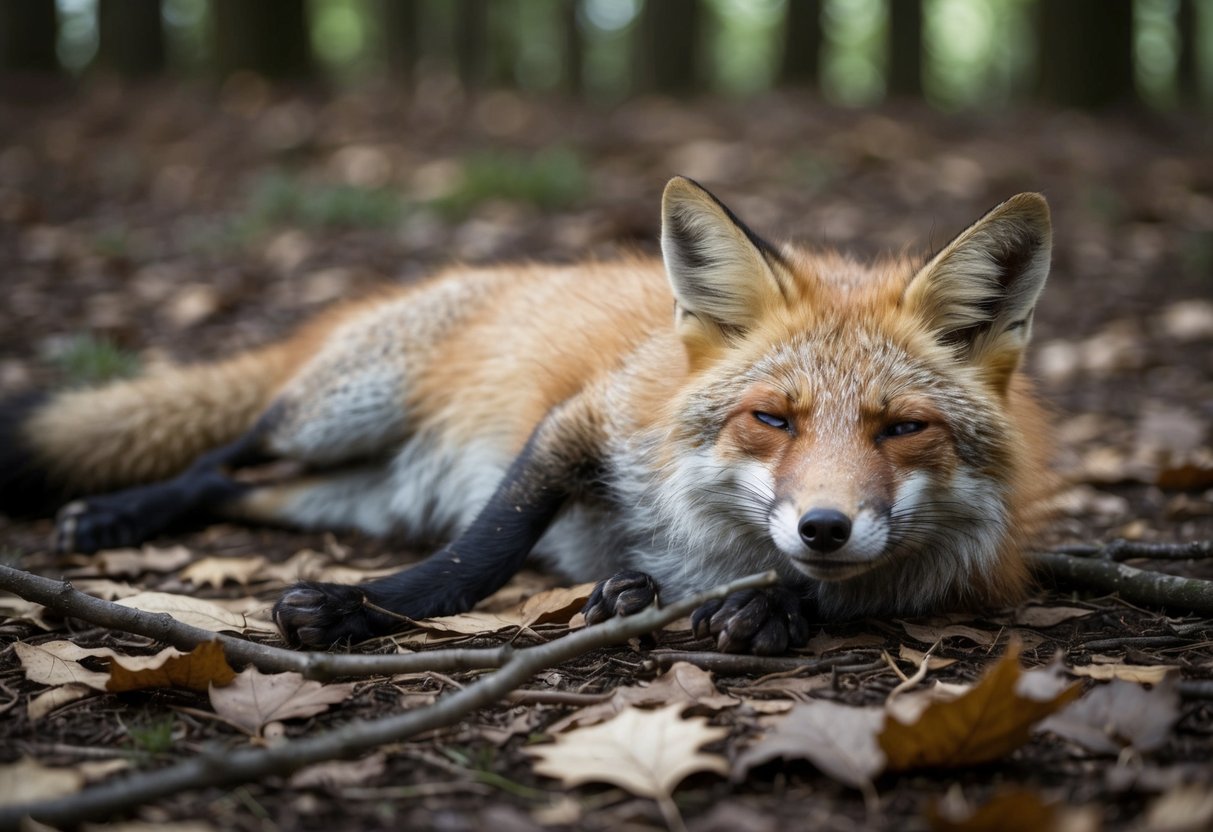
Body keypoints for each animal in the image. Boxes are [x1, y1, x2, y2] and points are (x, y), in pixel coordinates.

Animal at [0, 178, 1056, 655]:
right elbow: (479, 553)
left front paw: (767, 604)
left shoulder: (946, 574)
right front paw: (353, 609)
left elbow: (838, 593)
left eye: (901, 428)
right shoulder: (577, 421)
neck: (709, 538)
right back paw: (116, 514)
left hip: (348, 496)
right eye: (773, 418)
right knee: (219, 456)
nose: (824, 527)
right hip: (333, 415)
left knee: (237, 491)